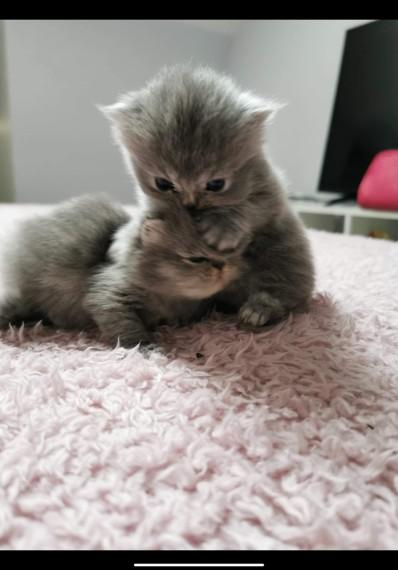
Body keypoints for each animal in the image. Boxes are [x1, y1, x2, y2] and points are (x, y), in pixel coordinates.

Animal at [0, 194, 243, 346]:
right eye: (196, 258)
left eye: (229, 253)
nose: (222, 266)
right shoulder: (108, 295)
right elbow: (128, 327)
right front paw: (145, 346)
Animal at [101, 63, 316, 324]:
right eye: (163, 184)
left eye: (216, 185)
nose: (190, 204)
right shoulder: (154, 203)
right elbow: (146, 219)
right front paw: (126, 241)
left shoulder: (271, 196)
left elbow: (250, 208)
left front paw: (221, 227)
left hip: (282, 256)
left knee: (283, 290)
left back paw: (258, 309)